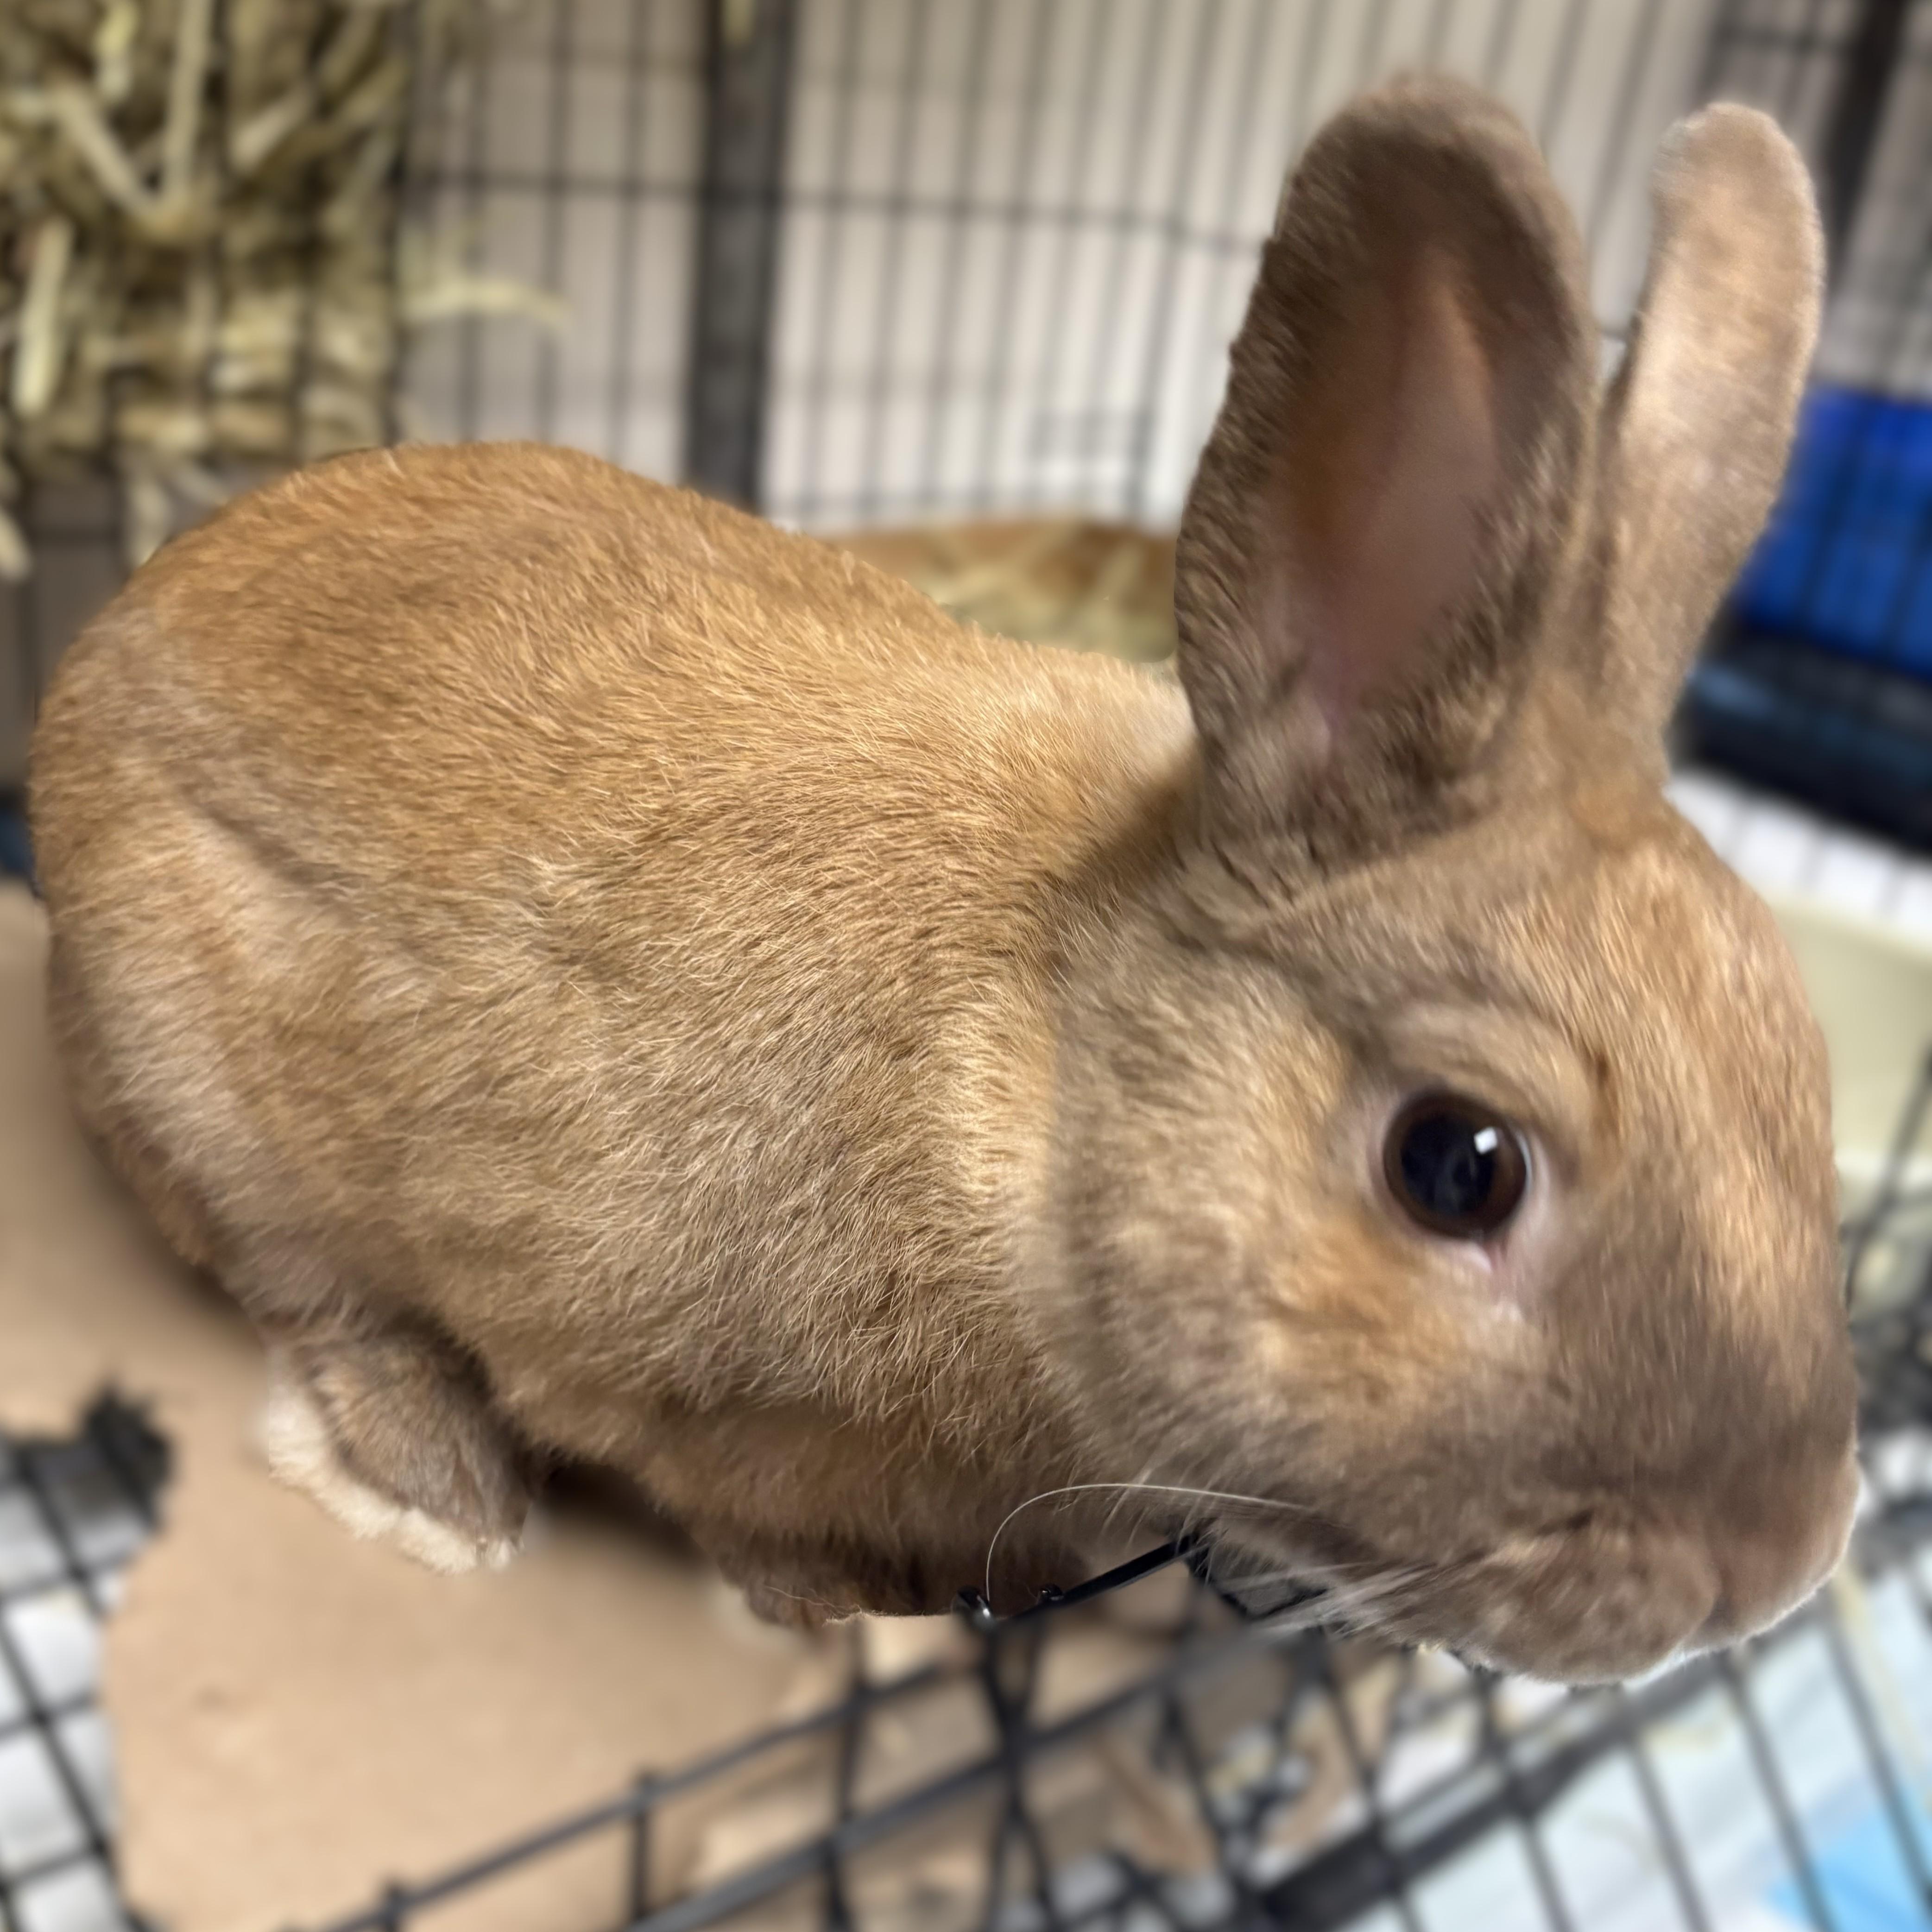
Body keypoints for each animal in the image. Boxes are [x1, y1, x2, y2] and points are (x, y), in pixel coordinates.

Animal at [28, 75, 1859, 1684]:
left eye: (1805, 1061)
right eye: (1457, 1166)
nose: (1770, 1566)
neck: (1037, 1080)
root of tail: (89, 664)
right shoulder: (684, 1392)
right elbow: (737, 1522)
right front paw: (840, 1614)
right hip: (196, 1086)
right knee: (305, 1289)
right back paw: (448, 1494)